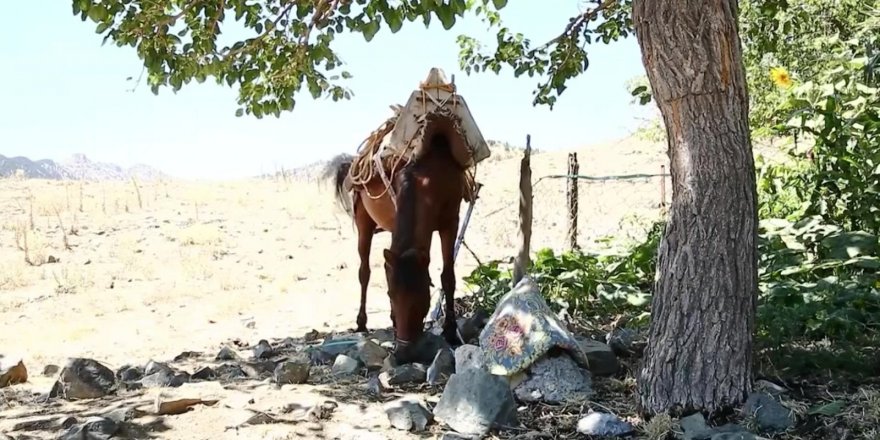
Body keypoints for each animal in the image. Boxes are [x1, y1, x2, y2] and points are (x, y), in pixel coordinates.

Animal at [320, 132, 464, 352]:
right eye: (390, 295)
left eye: (422, 296)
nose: (404, 353)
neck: (428, 179)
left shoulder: (451, 223)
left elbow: (448, 277)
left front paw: (451, 332)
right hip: (363, 222)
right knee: (365, 272)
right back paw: (361, 322)